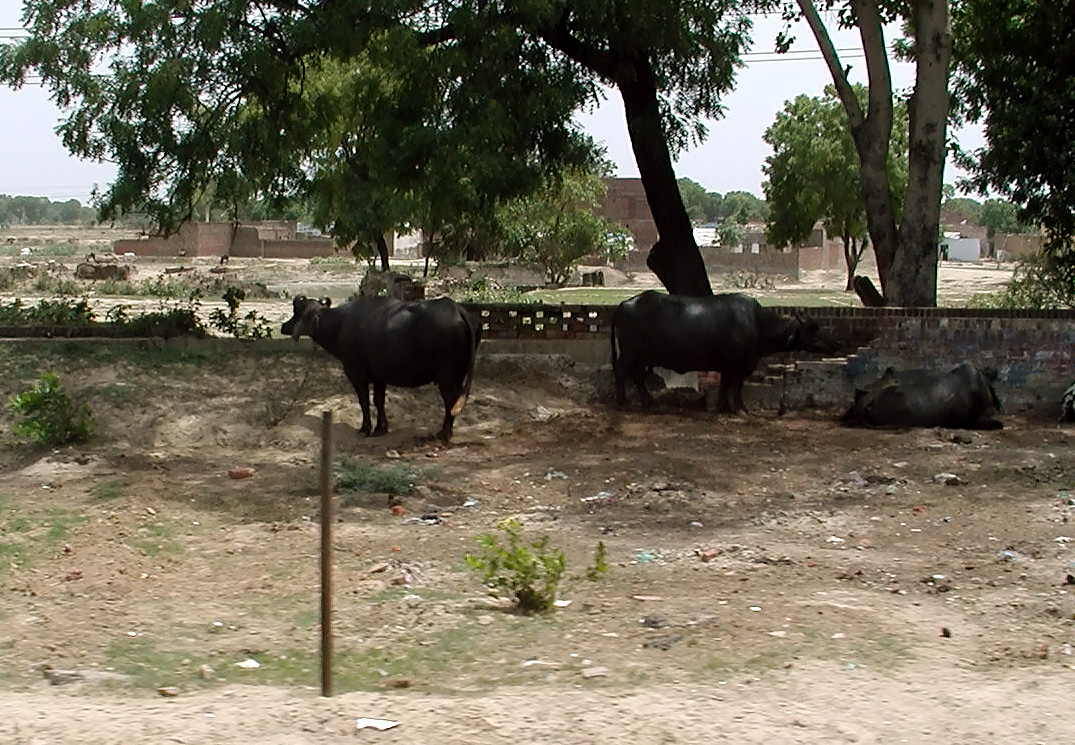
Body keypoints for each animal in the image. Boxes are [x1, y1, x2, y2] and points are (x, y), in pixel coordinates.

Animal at [282, 294, 481, 442]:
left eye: (296, 311)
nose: (284, 326)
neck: (340, 325)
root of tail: (457, 309)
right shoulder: (379, 377)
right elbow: (379, 401)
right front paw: (381, 428)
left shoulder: (356, 374)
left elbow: (364, 401)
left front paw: (365, 428)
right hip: (458, 375)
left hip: (448, 377)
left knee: (451, 400)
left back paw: (444, 433)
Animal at [611, 290, 841, 413]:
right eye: (812, 329)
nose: (835, 344)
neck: (756, 323)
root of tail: (624, 304)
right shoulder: (738, 363)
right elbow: (736, 385)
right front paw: (740, 408)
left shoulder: (727, 364)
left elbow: (725, 384)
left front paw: (723, 406)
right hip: (630, 352)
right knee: (622, 371)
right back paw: (622, 402)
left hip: (639, 356)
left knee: (636, 375)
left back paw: (648, 402)